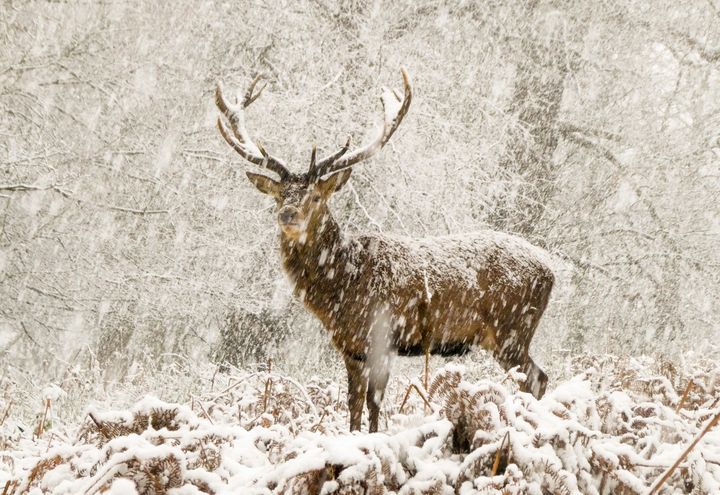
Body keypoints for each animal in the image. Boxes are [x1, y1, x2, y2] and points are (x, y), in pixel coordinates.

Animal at [212, 70, 552, 434]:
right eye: (279, 195)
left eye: (316, 196)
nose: (288, 214)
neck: (341, 286)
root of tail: (551, 271)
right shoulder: (351, 347)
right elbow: (353, 403)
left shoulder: (382, 336)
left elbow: (375, 402)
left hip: (512, 328)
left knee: (535, 378)